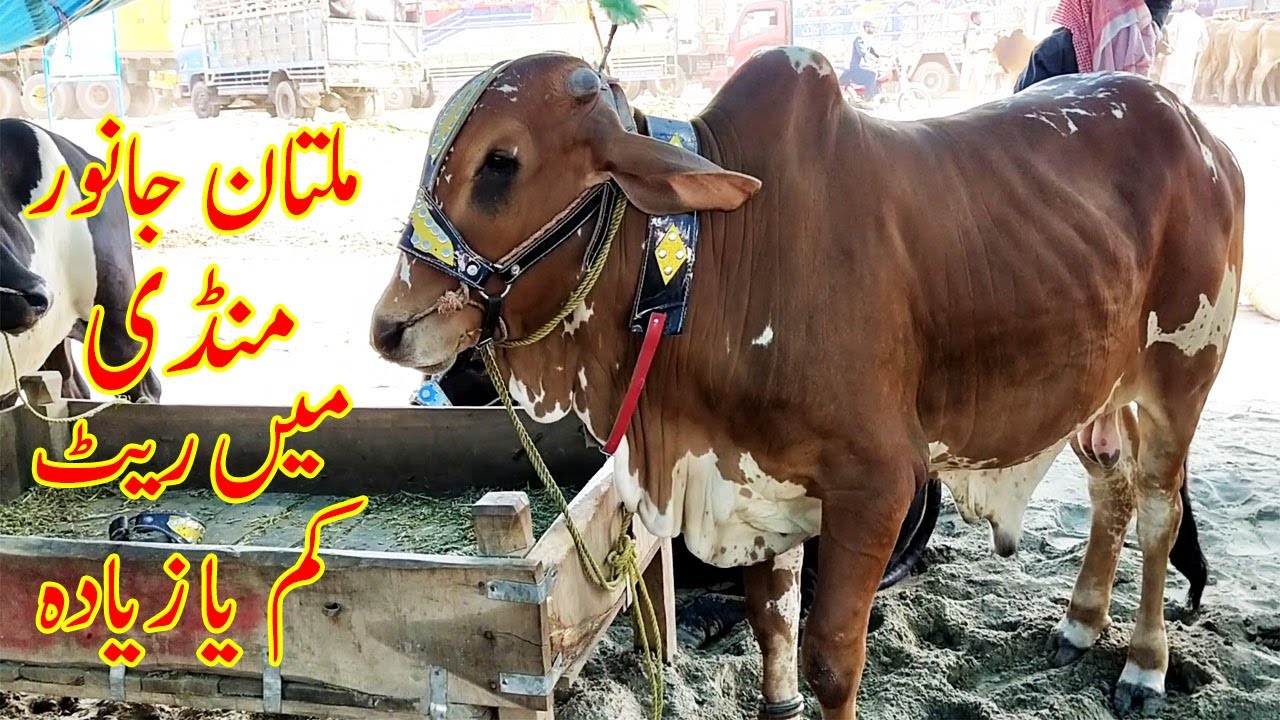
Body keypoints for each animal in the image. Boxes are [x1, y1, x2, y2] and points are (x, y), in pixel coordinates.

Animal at [368, 49, 1242, 718]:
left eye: (501, 163)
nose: (389, 326)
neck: (707, 266)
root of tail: (1198, 130)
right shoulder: (754, 483)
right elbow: (773, 625)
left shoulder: (878, 484)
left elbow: (830, 657)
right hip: (1100, 392)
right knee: (1110, 494)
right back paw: (1080, 623)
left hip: (1183, 372)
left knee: (1159, 511)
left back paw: (1144, 664)